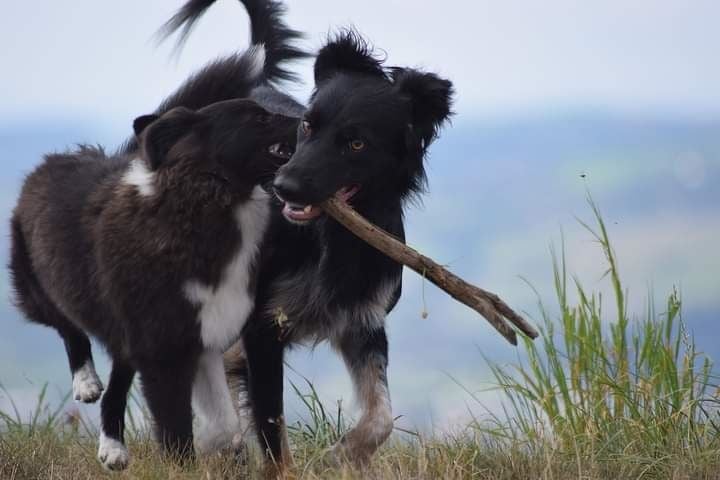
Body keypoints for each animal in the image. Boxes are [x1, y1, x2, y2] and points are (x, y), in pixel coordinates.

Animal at [9, 97, 296, 468]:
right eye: (259, 118)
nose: (307, 118)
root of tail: (52, 160)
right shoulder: (162, 347)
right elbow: (176, 427)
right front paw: (183, 468)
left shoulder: (202, 332)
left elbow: (225, 422)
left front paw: (218, 448)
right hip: (38, 288)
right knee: (67, 327)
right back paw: (86, 382)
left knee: (116, 384)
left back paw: (113, 447)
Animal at [162, 0, 452, 472]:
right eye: (307, 127)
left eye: (356, 143)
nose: (284, 187)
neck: (325, 237)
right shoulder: (262, 328)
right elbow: (270, 422)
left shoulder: (362, 318)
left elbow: (380, 418)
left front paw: (341, 455)